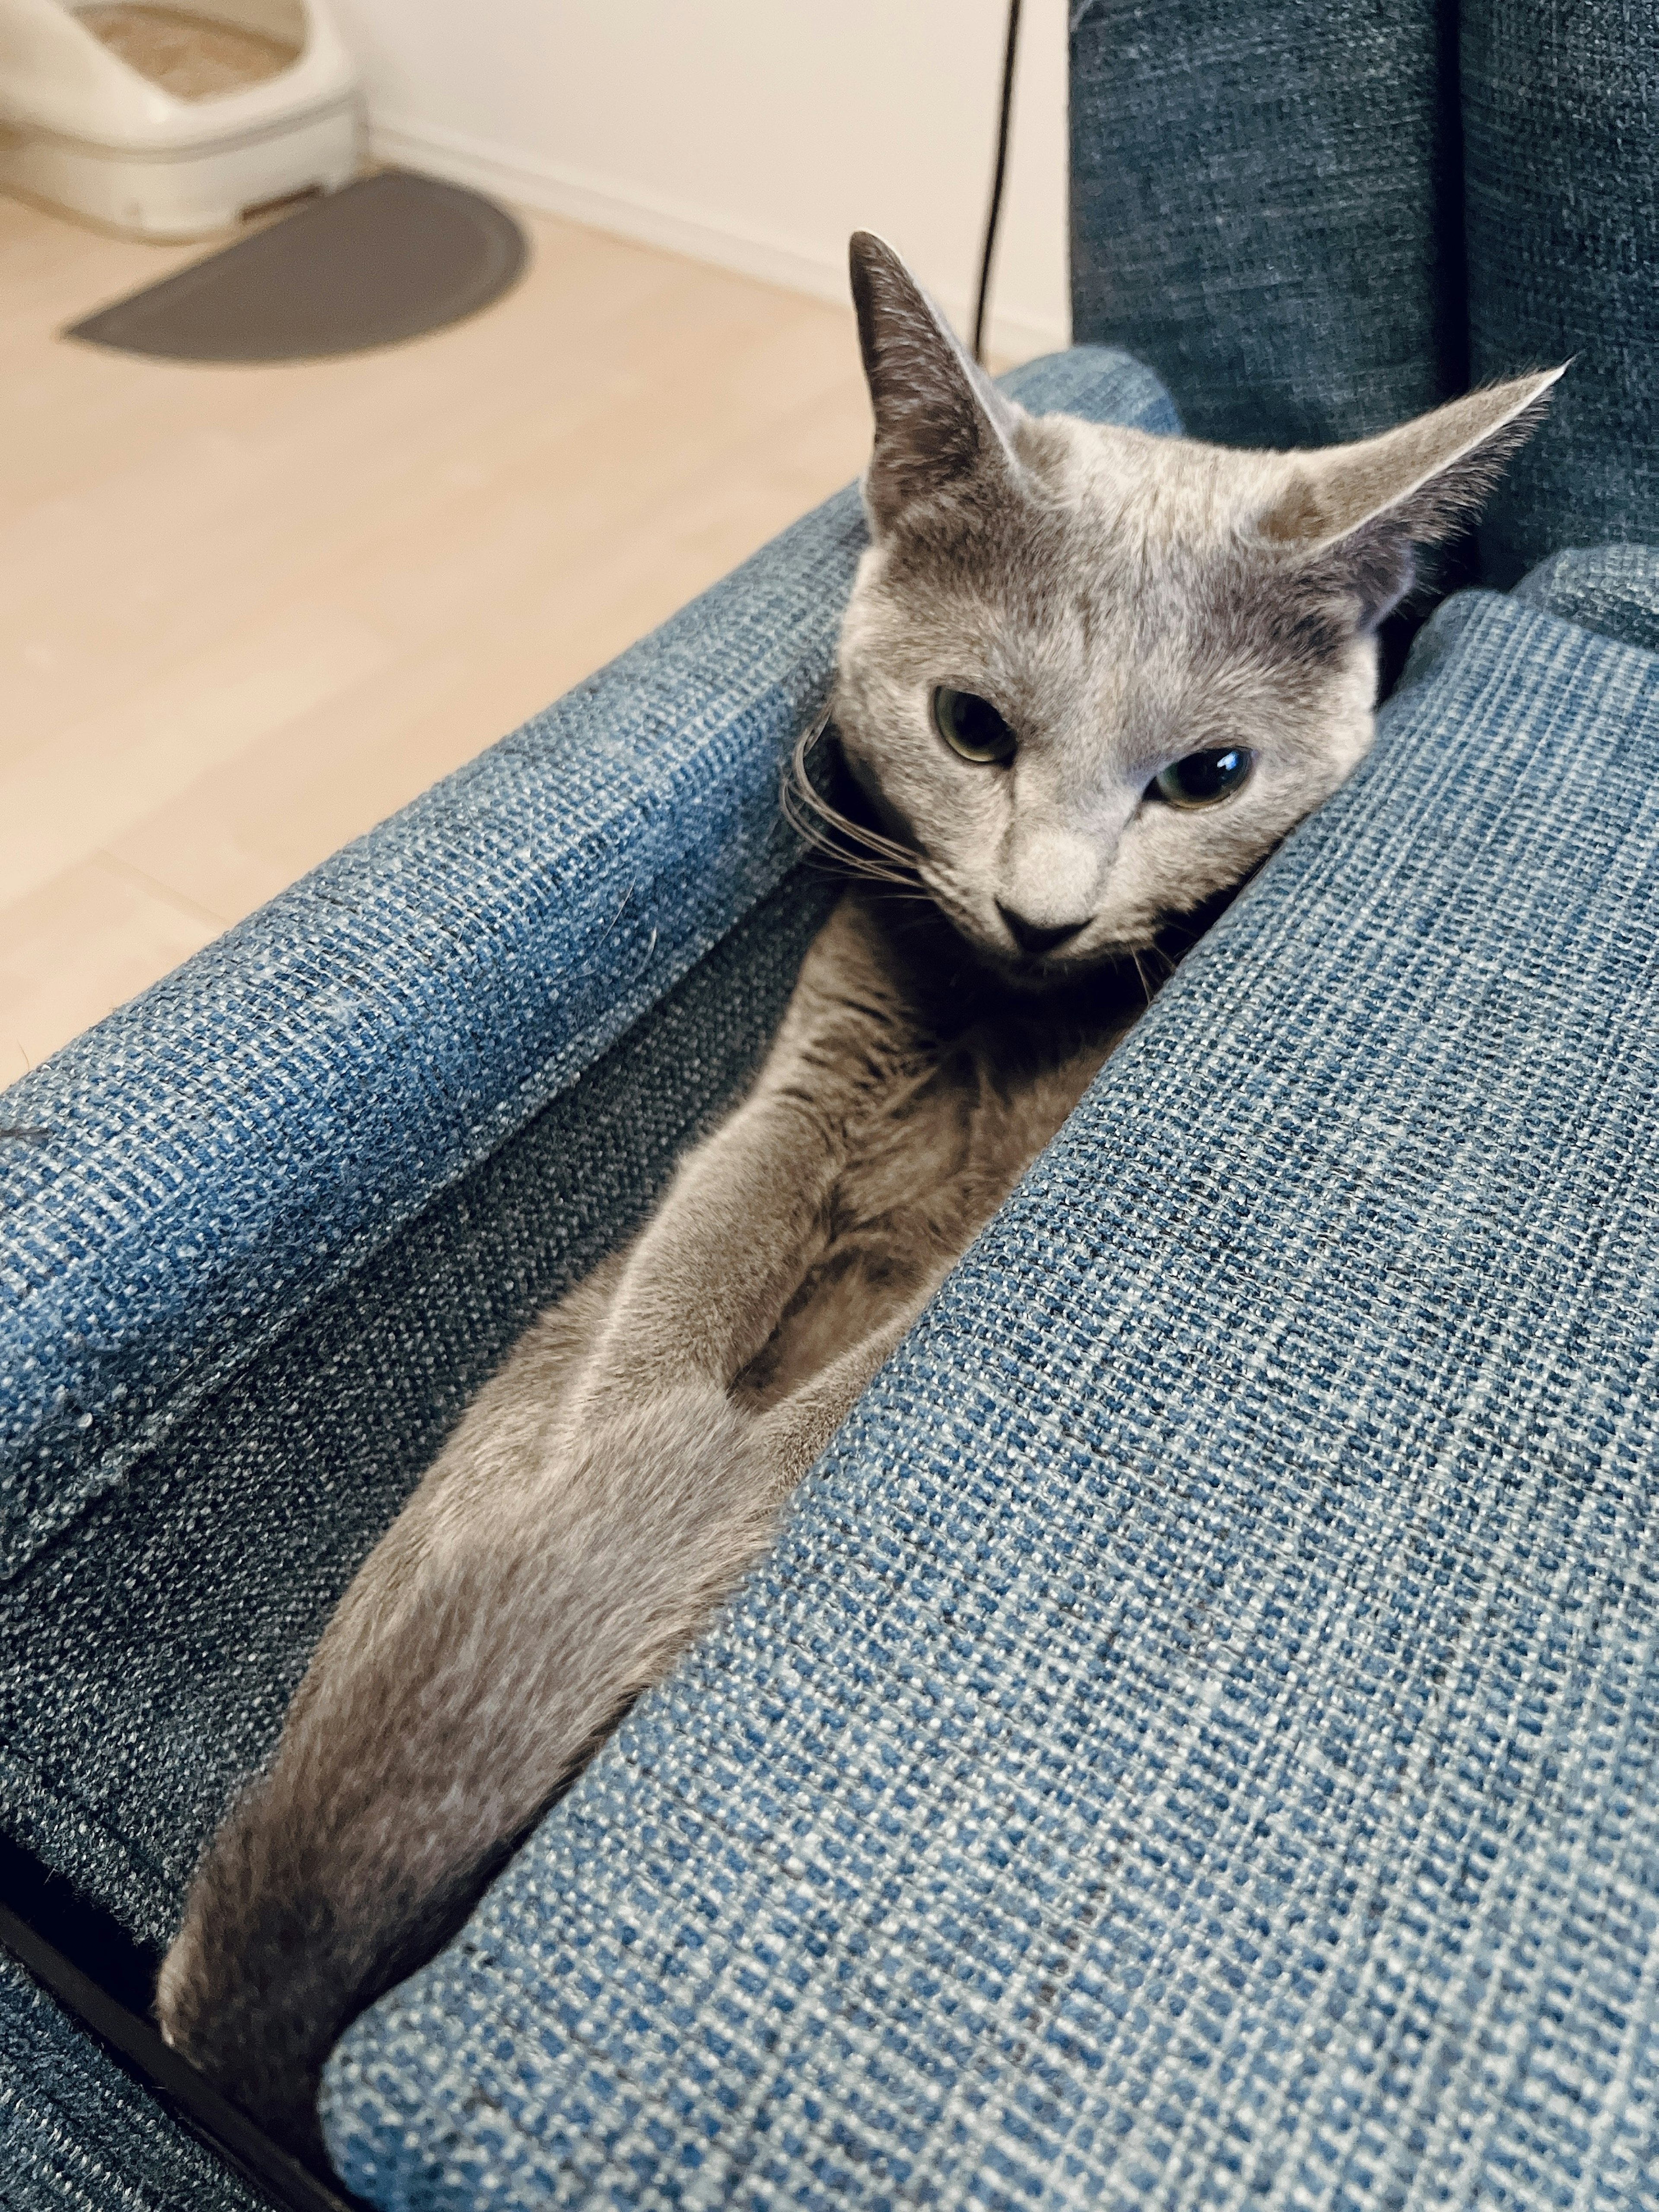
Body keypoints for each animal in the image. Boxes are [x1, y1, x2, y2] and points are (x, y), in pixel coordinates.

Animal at [156, 233, 1557, 2150]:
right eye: (971, 727)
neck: (995, 1017)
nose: (1045, 908)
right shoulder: (809, 1061)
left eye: (1207, 776)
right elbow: (693, 1267)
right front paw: (596, 1485)